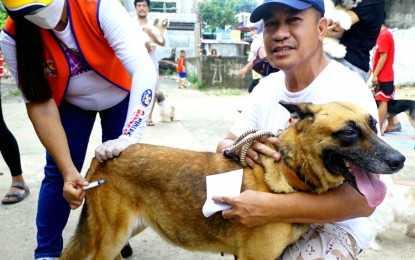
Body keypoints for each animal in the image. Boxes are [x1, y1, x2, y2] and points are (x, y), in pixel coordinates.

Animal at [61, 101, 406, 260]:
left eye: (374, 125)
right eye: (348, 131)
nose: (400, 160)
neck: (287, 173)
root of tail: (102, 158)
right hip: (110, 239)